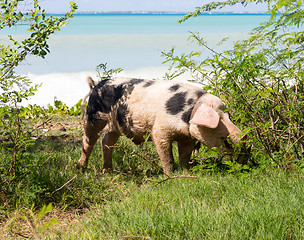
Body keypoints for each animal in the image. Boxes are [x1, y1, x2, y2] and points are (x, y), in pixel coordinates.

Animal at [77, 78, 246, 175]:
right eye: (218, 118)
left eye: (228, 115)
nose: (243, 134)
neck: (187, 114)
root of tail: (96, 84)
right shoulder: (160, 131)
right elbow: (167, 157)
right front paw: (170, 176)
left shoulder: (186, 137)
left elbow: (185, 156)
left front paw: (186, 174)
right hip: (94, 117)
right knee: (88, 141)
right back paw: (80, 168)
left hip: (115, 126)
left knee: (106, 142)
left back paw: (107, 171)